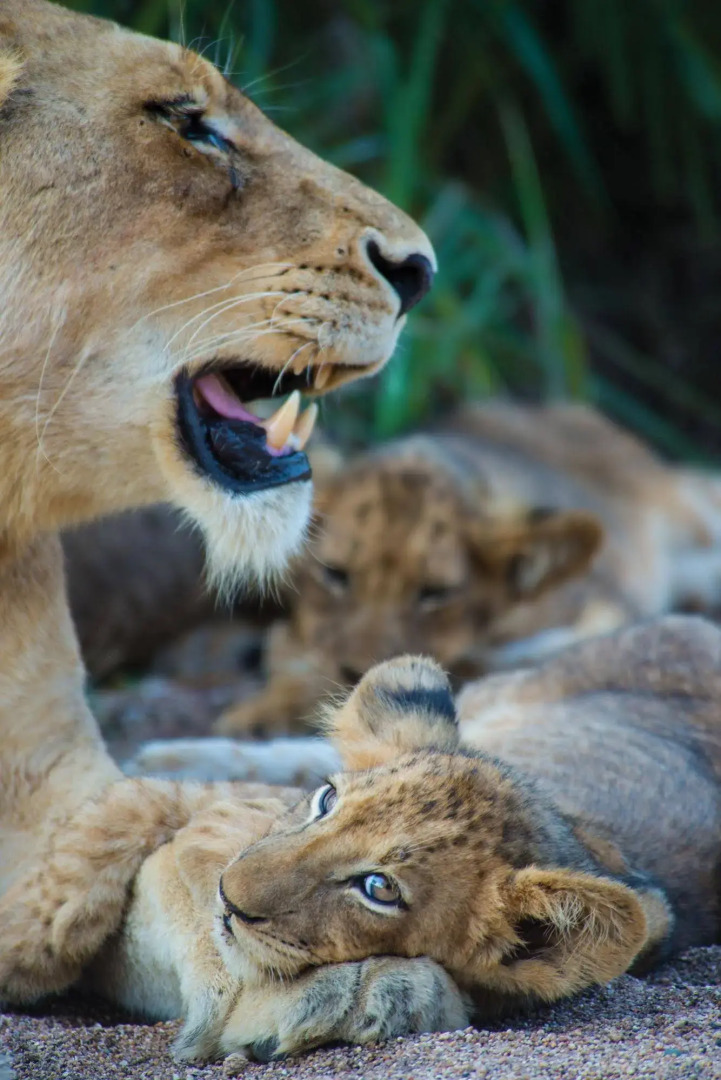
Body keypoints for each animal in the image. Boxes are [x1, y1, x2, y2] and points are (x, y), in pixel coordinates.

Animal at [40, 615, 719, 1062]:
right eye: (327, 802)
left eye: (378, 889)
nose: (228, 898)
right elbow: (126, 817)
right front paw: (55, 925)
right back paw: (170, 750)